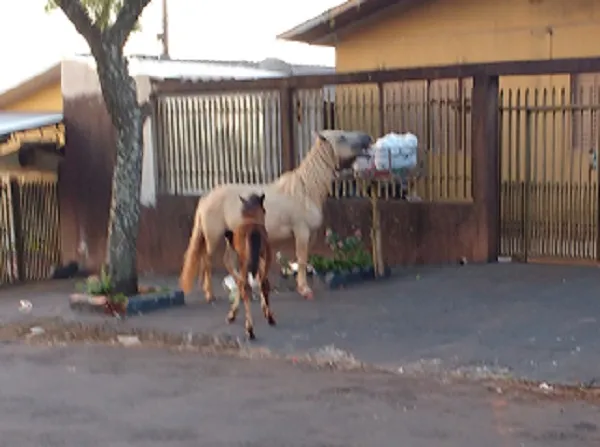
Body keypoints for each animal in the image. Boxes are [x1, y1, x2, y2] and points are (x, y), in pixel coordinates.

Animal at [180, 130, 372, 304]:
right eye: (341, 137)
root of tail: (206, 198)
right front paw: (304, 290)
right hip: (213, 237)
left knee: (228, 261)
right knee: (207, 261)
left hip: (232, 235)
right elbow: (302, 260)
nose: (367, 138)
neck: (305, 191)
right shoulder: (301, 231)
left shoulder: (309, 234)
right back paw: (210, 295)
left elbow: (303, 259)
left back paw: (243, 289)